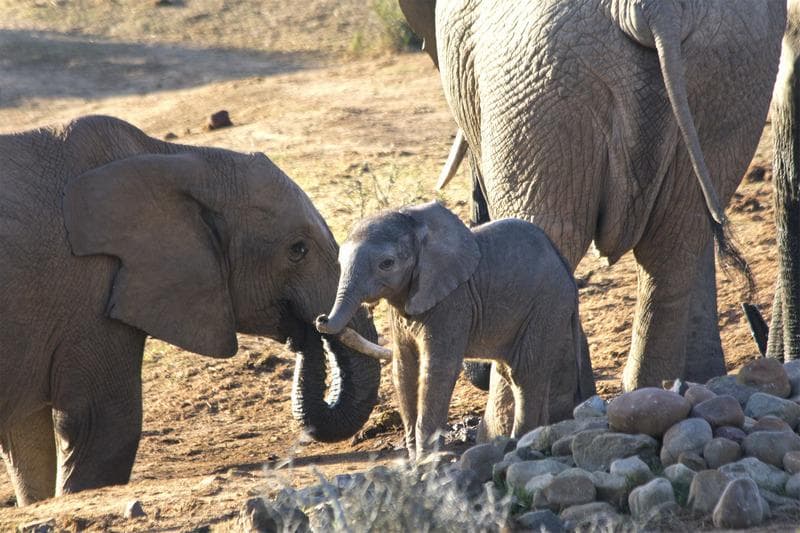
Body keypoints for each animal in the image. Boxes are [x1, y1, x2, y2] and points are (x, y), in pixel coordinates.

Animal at [0, 115, 380, 505]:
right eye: (298, 250)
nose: (313, 325)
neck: (176, 159)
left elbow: (28, 441)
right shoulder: (91, 296)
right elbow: (102, 423)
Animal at [315, 201, 590, 458]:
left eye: (387, 264)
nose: (321, 319)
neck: (417, 227)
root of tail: (566, 269)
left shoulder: (452, 302)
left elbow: (437, 370)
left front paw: (427, 462)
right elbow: (404, 369)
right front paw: (414, 460)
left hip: (547, 304)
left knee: (525, 373)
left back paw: (517, 444)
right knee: (513, 371)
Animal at [398, 0, 786, 412]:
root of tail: (652, 9)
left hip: (541, 77)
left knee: (549, 235)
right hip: (728, 77)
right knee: (675, 245)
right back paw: (648, 396)